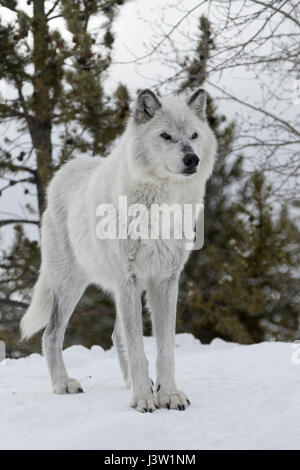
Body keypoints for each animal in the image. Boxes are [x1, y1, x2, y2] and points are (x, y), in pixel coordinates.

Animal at [19, 88, 216, 412]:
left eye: (194, 135)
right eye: (165, 136)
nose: (192, 159)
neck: (160, 205)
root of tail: (63, 171)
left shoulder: (165, 281)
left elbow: (165, 349)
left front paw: (168, 394)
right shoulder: (130, 280)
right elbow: (138, 348)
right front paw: (144, 399)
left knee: (114, 333)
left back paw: (130, 383)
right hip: (71, 285)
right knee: (51, 334)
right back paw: (64, 384)